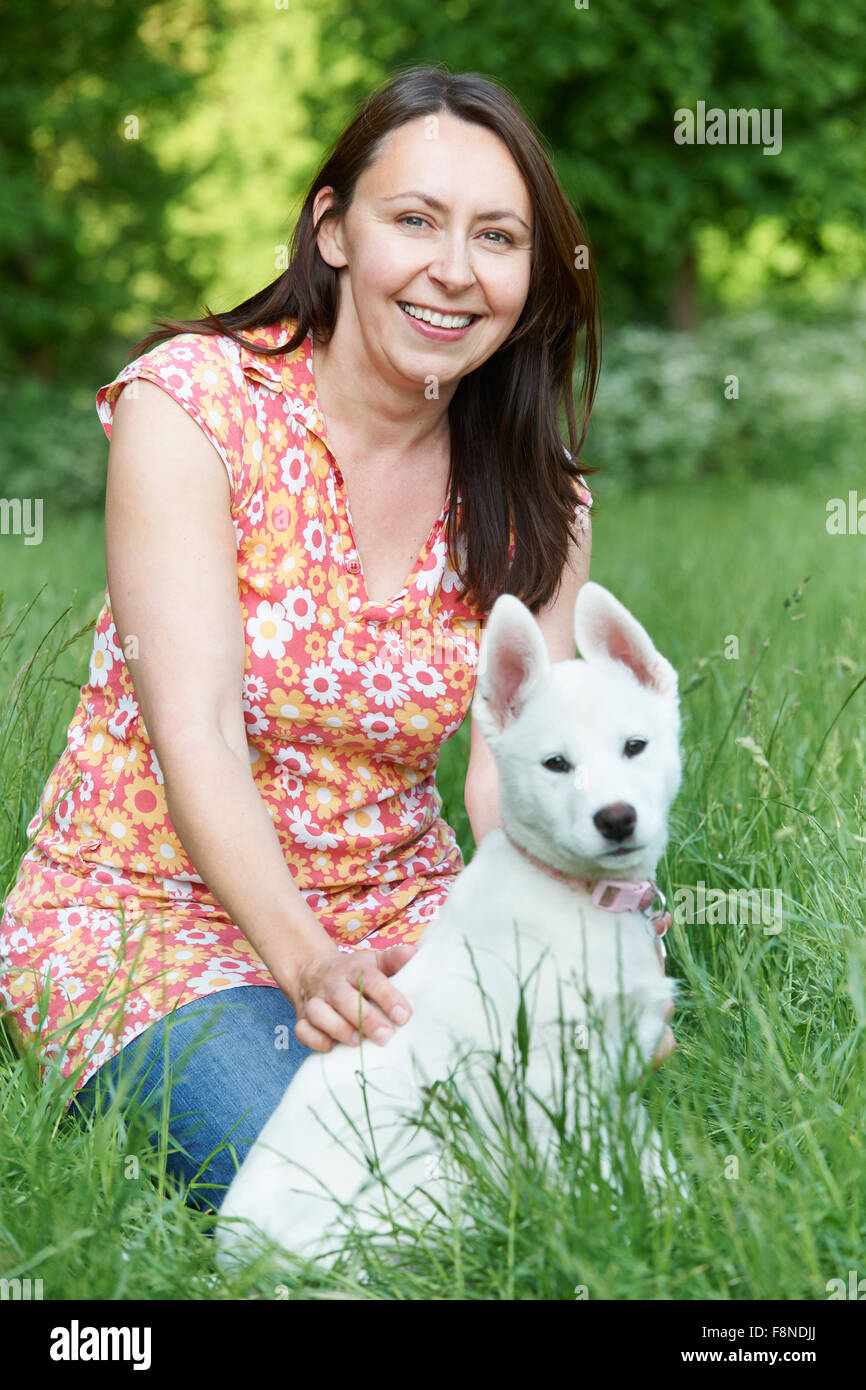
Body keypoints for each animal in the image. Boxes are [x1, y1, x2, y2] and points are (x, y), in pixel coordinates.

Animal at [215, 578, 683, 1273]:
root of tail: (240, 1256)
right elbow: (588, 1166)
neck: (576, 897)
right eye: (555, 764)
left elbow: (642, 1150)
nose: (617, 819)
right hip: (437, 1176)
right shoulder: (547, 1081)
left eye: (635, 747)